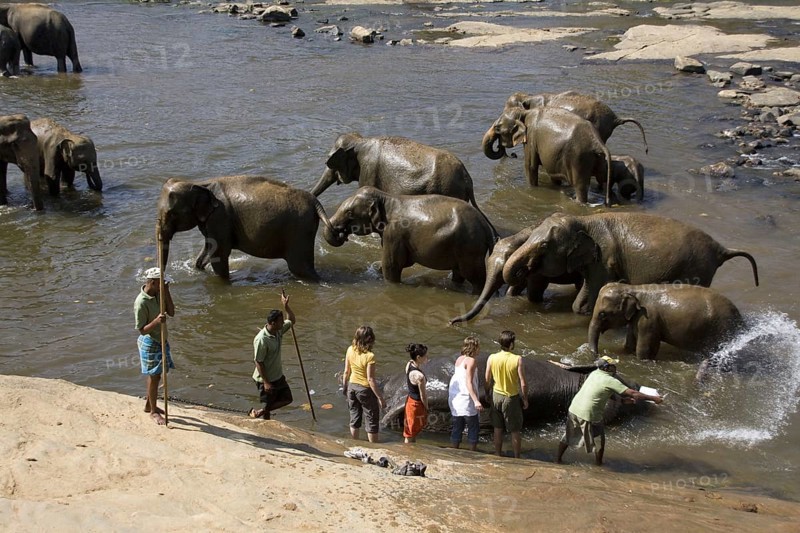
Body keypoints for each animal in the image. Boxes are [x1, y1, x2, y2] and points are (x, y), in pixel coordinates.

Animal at [157, 175, 343, 280]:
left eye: (171, 214)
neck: (199, 183)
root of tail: (315, 202)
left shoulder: (220, 218)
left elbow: (219, 254)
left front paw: (224, 282)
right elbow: (208, 249)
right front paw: (199, 268)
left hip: (299, 231)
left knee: (299, 268)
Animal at [327, 186, 496, 293]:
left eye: (349, 213)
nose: (341, 235)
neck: (386, 197)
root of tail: (486, 228)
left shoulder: (393, 234)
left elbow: (392, 266)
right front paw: (375, 269)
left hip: (470, 248)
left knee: (476, 278)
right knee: (459, 274)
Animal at [503, 212, 759, 315]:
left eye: (544, 246)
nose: (526, 269)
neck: (584, 219)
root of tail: (720, 248)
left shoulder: (604, 259)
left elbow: (587, 296)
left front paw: (581, 311)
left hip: (696, 268)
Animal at [588, 282, 744, 360]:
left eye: (602, 314)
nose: (597, 355)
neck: (632, 288)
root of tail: (739, 316)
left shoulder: (648, 320)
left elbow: (644, 350)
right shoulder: (636, 320)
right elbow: (629, 345)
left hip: (721, 329)